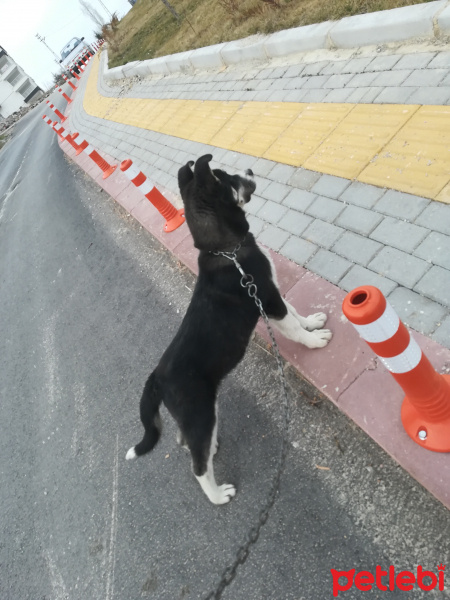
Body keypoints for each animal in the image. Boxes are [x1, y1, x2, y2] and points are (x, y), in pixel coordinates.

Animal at [126, 156, 330, 506]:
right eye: (228, 178)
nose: (249, 170)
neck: (226, 250)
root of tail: (156, 379)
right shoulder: (268, 301)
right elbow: (292, 326)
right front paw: (314, 340)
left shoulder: (272, 295)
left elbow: (296, 314)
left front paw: (313, 322)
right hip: (201, 414)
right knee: (197, 466)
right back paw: (218, 494)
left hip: (196, 418)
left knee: (188, 443)